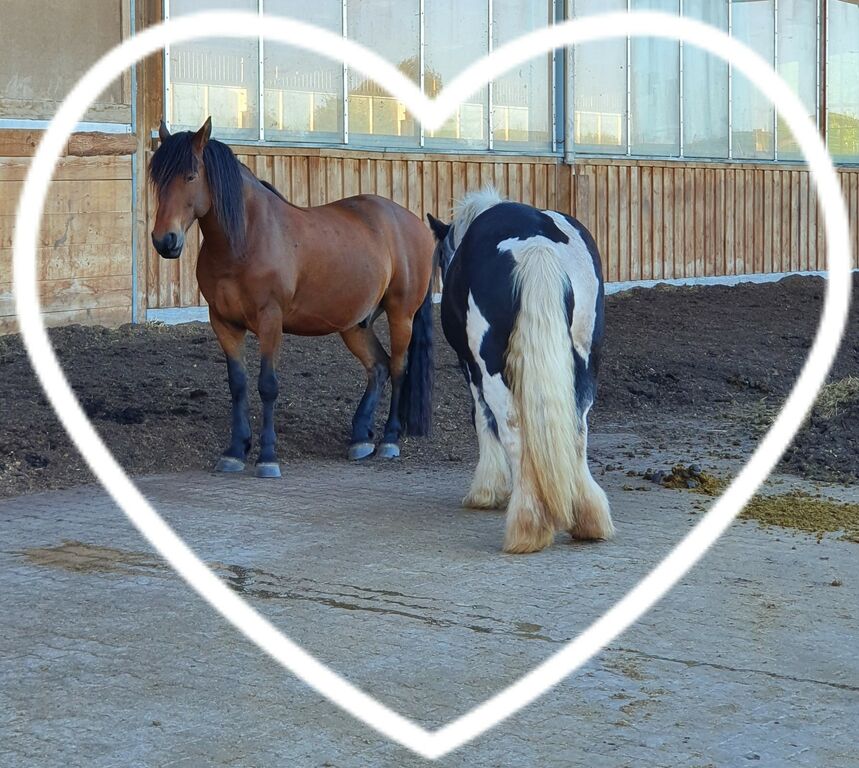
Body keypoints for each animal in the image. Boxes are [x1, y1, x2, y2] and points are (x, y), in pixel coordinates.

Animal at [149, 118, 434, 477]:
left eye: (190, 175)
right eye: (157, 178)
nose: (165, 240)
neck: (246, 240)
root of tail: (415, 224)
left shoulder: (271, 321)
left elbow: (267, 385)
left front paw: (267, 457)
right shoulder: (224, 323)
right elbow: (238, 384)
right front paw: (234, 451)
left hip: (401, 315)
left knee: (397, 368)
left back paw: (389, 440)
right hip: (354, 324)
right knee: (378, 367)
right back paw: (360, 438)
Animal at [427, 187, 614, 554]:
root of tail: (536, 243)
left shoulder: (471, 368)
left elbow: (482, 419)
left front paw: (487, 492)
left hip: (489, 366)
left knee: (511, 425)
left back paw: (528, 525)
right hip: (585, 357)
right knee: (577, 425)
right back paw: (586, 517)